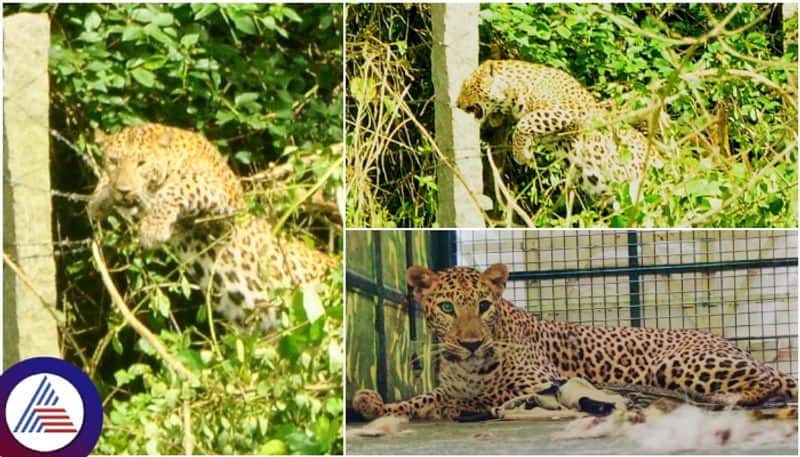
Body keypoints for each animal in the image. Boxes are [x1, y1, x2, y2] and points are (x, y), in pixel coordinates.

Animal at [89, 121, 336, 328]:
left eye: (142, 163)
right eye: (113, 162)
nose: (123, 191)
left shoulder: (221, 195)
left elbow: (179, 186)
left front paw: (153, 229)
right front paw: (99, 199)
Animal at [354, 262, 796, 418]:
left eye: (483, 306)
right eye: (446, 307)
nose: (472, 343)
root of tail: (737, 345)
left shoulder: (540, 381)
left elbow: (487, 396)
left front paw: (461, 406)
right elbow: (423, 398)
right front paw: (374, 403)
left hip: (676, 362)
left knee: (770, 380)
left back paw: (719, 399)